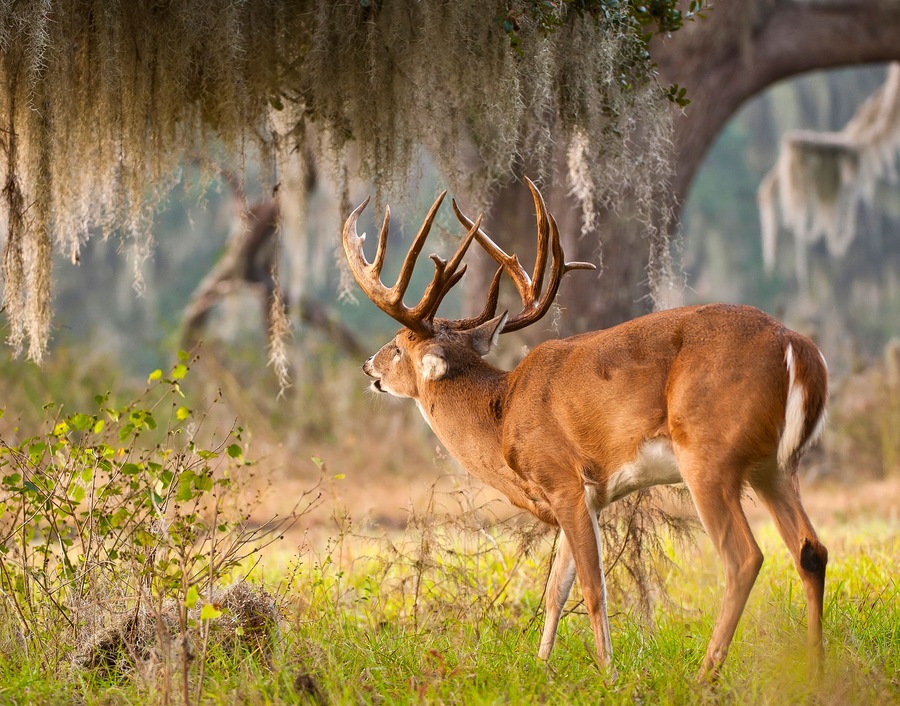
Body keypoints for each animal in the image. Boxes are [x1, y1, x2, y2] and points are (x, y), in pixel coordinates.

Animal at [341, 178, 829, 680]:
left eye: (398, 347)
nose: (367, 366)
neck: (502, 415)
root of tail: (798, 347)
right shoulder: (586, 496)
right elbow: (555, 589)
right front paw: (540, 668)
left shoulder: (563, 479)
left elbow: (594, 588)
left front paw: (608, 674)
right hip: (773, 467)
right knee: (811, 549)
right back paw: (815, 669)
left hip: (709, 455)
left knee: (744, 557)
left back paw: (704, 677)